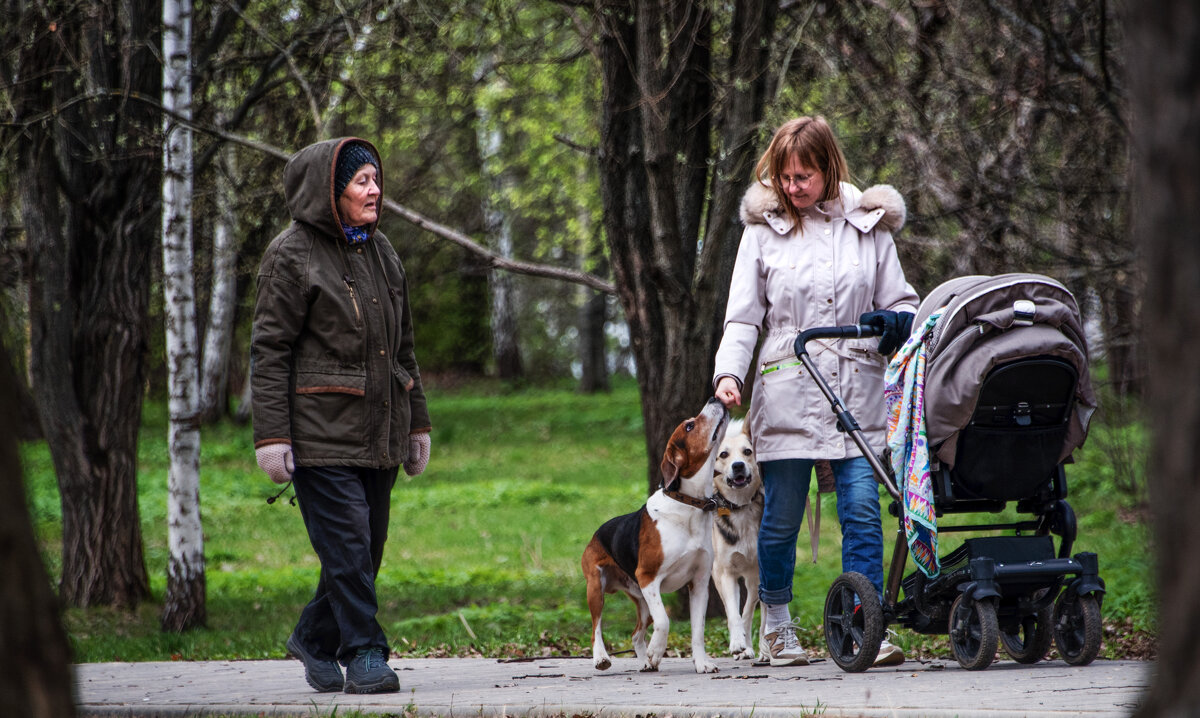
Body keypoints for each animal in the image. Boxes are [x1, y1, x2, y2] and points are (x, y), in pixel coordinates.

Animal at [580, 398, 729, 677]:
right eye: (690, 426)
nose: (715, 399)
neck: (688, 504)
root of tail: (597, 532)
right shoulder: (649, 577)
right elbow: (665, 620)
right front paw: (657, 650)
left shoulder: (699, 583)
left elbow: (698, 630)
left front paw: (701, 662)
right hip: (597, 588)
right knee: (596, 628)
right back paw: (602, 658)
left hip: (641, 600)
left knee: (636, 634)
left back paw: (646, 662)